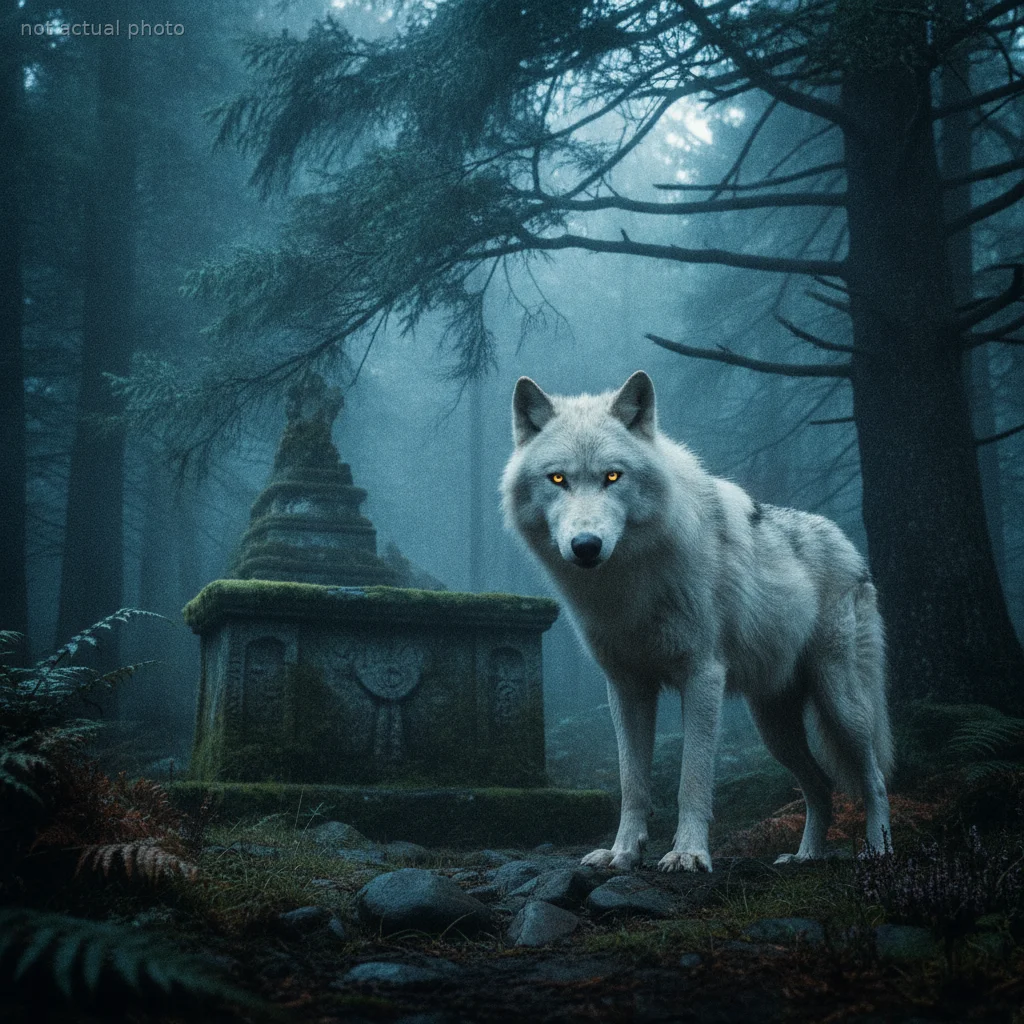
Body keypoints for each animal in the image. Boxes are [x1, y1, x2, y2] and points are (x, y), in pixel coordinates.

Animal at [501, 371, 893, 873]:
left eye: (612, 476)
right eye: (557, 479)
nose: (586, 545)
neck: (629, 584)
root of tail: (850, 548)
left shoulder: (702, 676)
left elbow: (693, 778)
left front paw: (688, 853)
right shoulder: (626, 688)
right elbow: (632, 784)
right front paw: (622, 853)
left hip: (841, 704)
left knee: (874, 779)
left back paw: (879, 850)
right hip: (774, 729)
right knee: (820, 786)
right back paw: (805, 857)